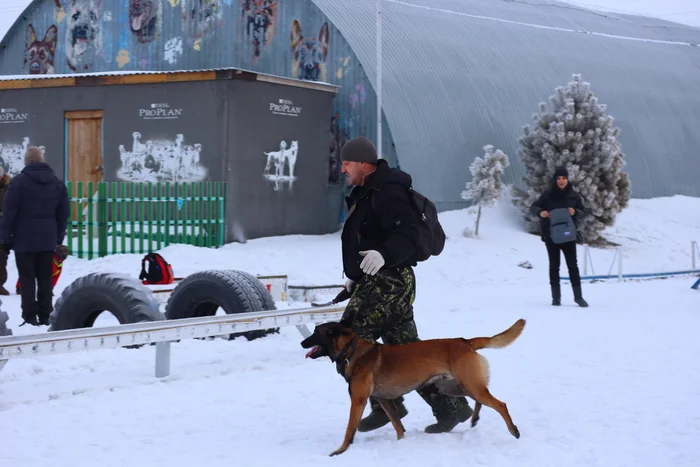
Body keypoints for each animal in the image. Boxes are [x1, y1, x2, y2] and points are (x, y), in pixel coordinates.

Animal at [300, 318, 524, 458]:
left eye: (316, 332)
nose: (302, 343)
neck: (351, 351)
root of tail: (465, 341)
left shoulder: (358, 401)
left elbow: (349, 430)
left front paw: (340, 451)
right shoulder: (384, 400)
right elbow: (397, 424)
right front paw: (401, 443)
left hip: (467, 385)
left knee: (500, 404)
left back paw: (513, 430)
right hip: (455, 386)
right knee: (480, 399)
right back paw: (474, 418)